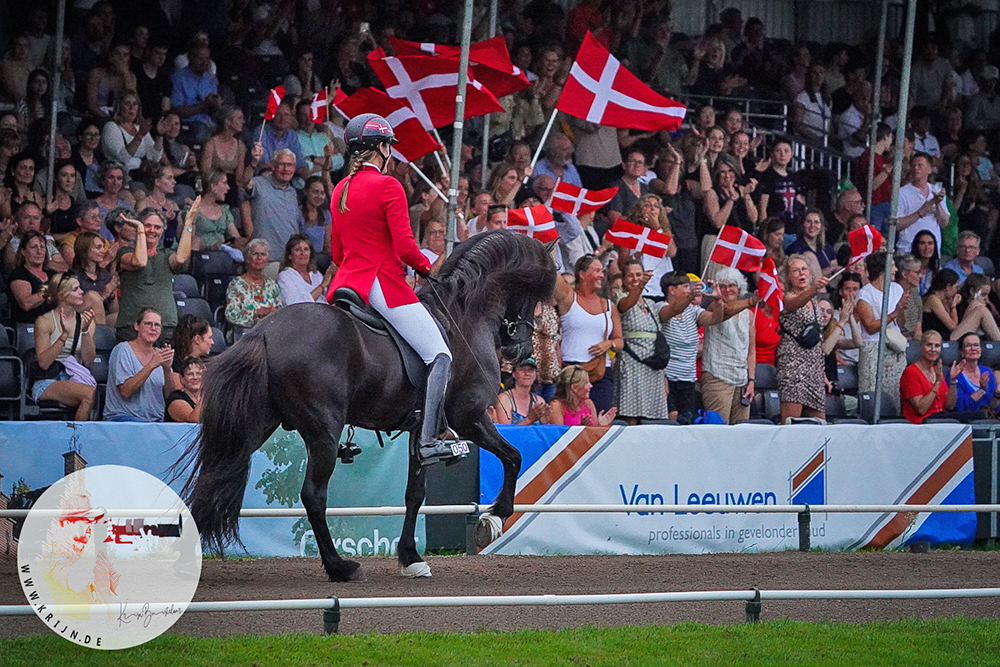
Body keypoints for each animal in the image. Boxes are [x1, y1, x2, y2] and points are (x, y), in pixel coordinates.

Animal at [178, 232, 556, 580]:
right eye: (536, 298)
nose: (520, 350)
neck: (464, 315)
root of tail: (265, 331)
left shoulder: (420, 430)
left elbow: (415, 493)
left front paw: (411, 557)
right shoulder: (470, 418)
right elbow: (513, 457)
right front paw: (493, 518)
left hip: (257, 425)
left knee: (213, 479)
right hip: (323, 433)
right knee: (314, 496)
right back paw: (340, 567)